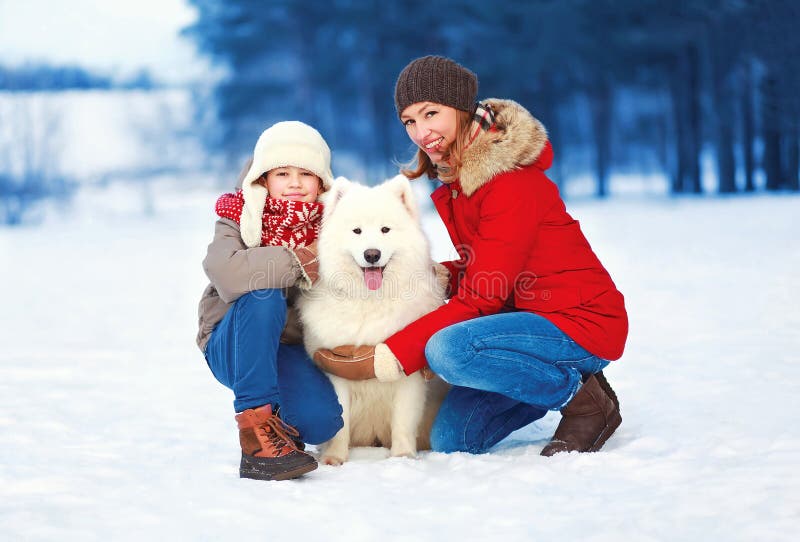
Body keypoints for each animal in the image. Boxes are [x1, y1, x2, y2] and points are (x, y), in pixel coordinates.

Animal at [298, 176, 450, 466]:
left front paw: (402, 457)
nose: (372, 254)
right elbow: (340, 424)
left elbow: (403, 422)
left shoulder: (407, 375)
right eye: (356, 231)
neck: (369, 300)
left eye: (385, 230)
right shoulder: (336, 370)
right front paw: (334, 458)